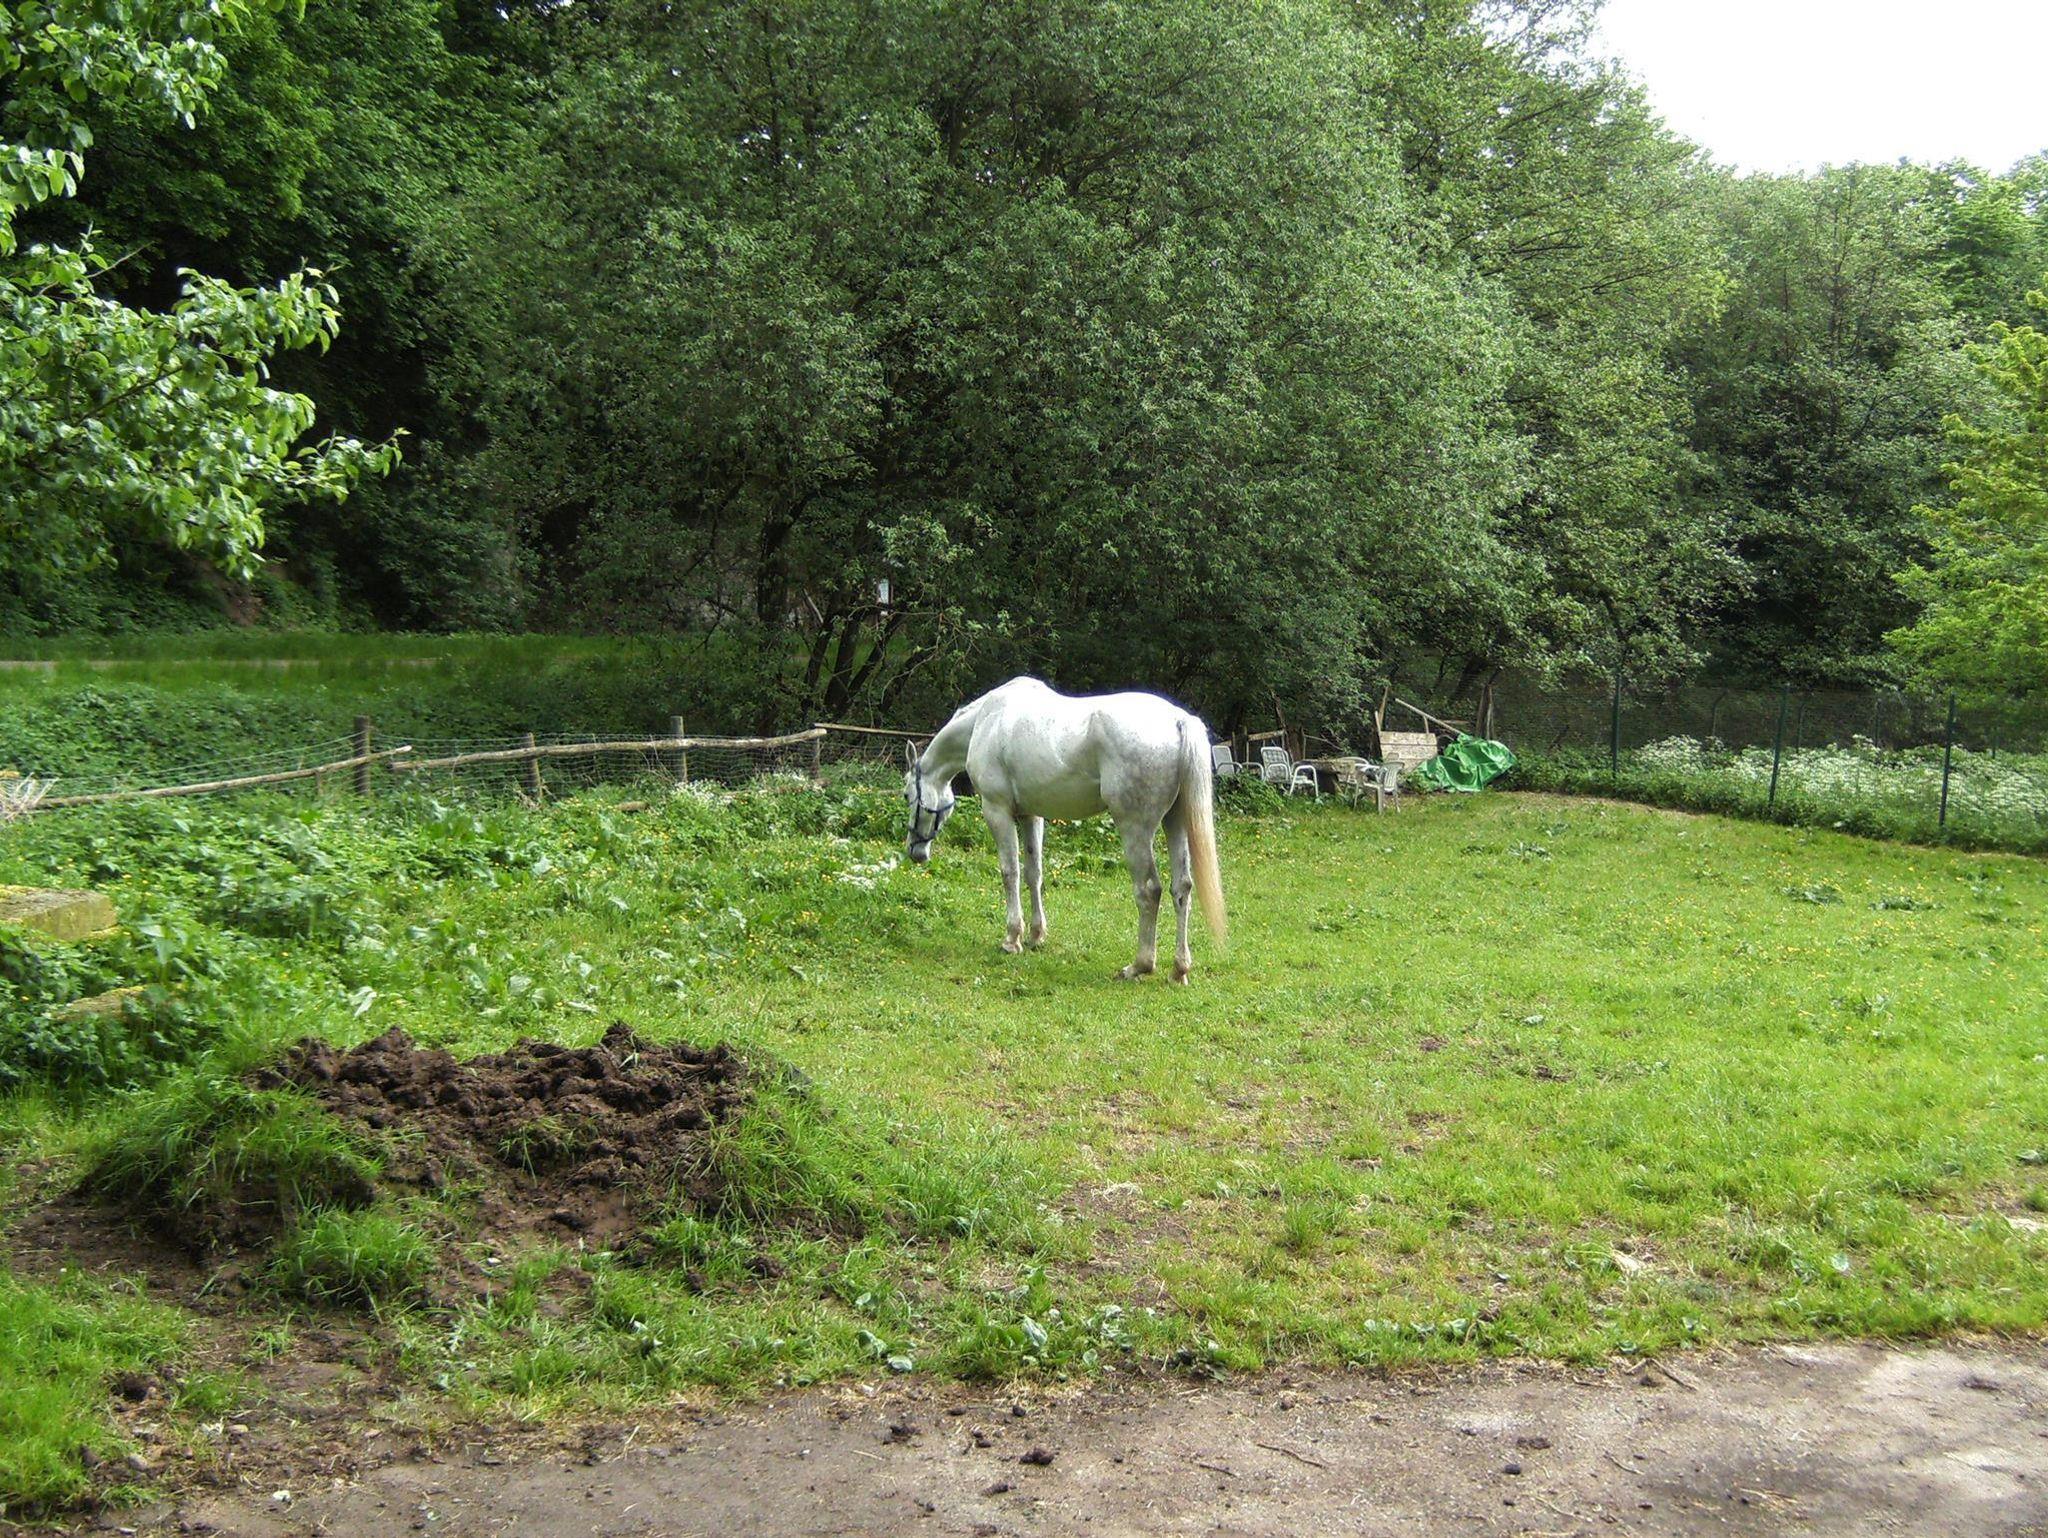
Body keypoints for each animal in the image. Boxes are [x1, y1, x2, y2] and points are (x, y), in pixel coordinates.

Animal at [903, 677, 1226, 982]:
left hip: (1135, 829)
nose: (915, 851)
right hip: (1175, 823)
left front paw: (1012, 939)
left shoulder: (997, 812)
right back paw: (1179, 970)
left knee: (1149, 891)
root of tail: (1177, 720)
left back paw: (1139, 966)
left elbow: (1010, 873)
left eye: (907, 795)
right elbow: (1033, 873)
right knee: (1181, 888)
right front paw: (1036, 936)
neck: (986, 719)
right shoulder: (1031, 815)